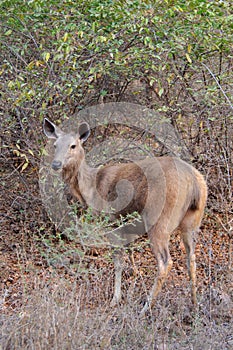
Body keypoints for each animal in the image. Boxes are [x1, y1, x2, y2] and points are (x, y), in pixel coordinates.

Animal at [43, 118, 208, 314]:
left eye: (73, 145)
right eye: (55, 145)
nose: (55, 164)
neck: (90, 188)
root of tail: (195, 183)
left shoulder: (110, 221)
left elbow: (118, 260)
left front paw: (116, 298)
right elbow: (129, 251)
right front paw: (135, 276)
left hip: (158, 219)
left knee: (165, 262)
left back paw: (146, 308)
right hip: (192, 221)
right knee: (191, 258)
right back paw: (195, 305)